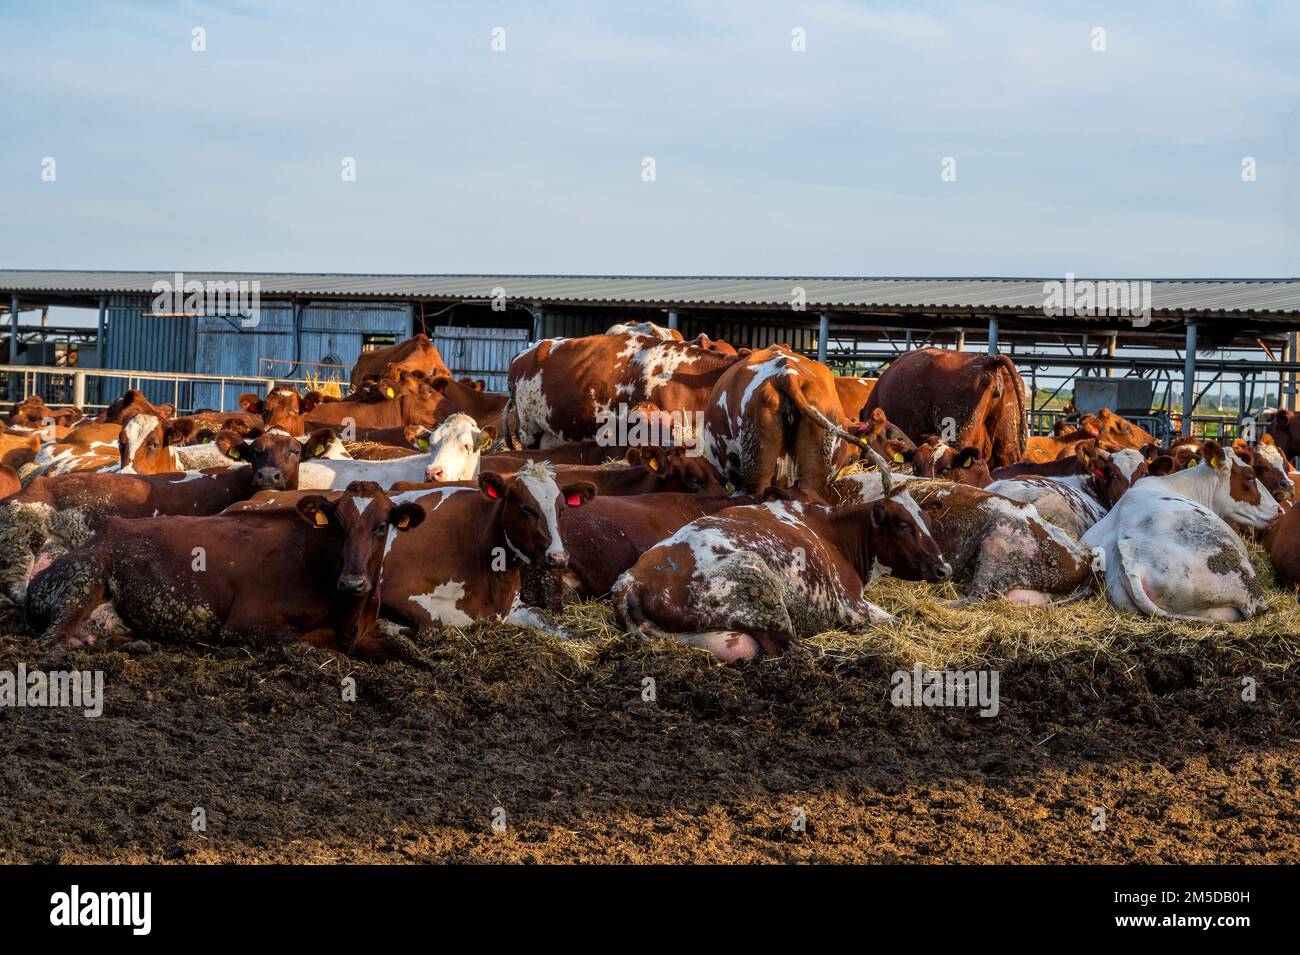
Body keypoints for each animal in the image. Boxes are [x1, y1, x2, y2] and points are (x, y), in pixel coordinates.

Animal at [25, 485, 423, 657]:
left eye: (382, 527)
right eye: (338, 525)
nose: (353, 582)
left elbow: (407, 650)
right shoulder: (247, 622)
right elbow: (310, 645)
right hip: (86, 579)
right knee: (52, 639)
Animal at [613, 488, 951, 660]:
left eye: (927, 522)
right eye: (904, 526)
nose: (944, 568)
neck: (832, 533)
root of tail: (631, 579)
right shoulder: (850, 603)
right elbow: (899, 620)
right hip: (759, 588)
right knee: (793, 649)